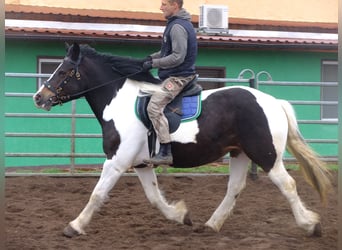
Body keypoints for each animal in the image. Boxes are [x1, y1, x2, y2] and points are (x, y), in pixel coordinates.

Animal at [32, 43, 332, 238]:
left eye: (63, 71)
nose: (39, 97)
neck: (119, 104)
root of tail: (273, 102)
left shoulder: (116, 162)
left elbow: (97, 193)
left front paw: (74, 226)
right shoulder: (141, 164)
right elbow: (154, 197)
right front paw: (181, 216)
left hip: (266, 155)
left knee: (287, 184)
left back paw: (310, 225)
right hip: (239, 153)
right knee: (234, 188)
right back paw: (211, 225)